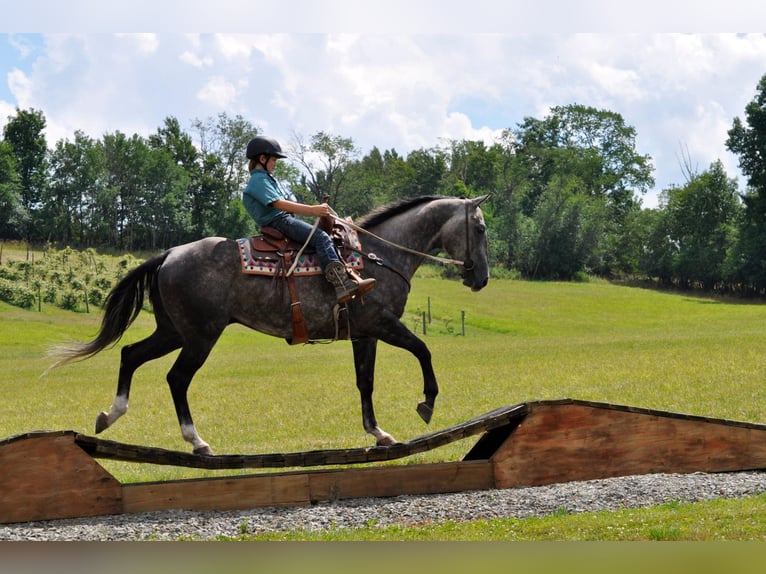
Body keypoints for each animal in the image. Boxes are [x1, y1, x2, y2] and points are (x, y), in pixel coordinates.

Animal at [49, 196, 492, 456]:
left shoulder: (365, 333)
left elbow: (364, 382)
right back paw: (197, 440)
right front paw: (427, 403)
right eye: (481, 228)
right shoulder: (384, 323)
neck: (377, 256)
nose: (482, 278)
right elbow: (423, 350)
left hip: (174, 331)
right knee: (177, 378)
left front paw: (379, 433)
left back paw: (110, 415)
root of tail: (170, 254)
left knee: (131, 354)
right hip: (200, 336)